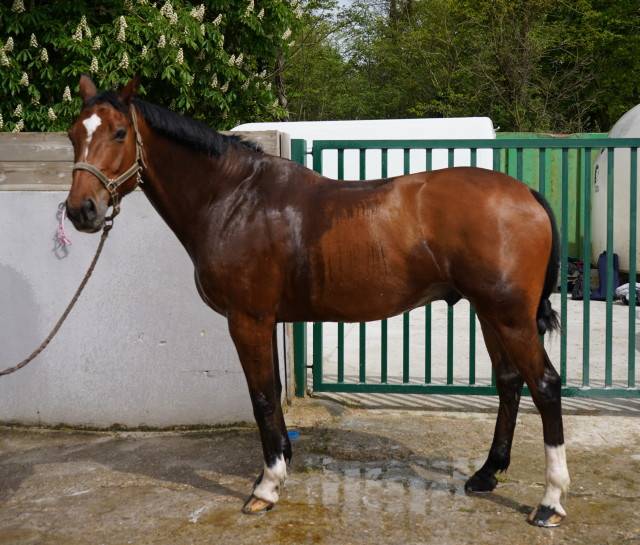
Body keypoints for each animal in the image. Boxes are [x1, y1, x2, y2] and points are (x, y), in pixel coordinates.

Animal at [64, 75, 569, 527]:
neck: (234, 199)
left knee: (544, 385)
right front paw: (281, 462)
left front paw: (266, 488)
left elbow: (261, 397)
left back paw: (550, 502)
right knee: (509, 382)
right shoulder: (265, 320)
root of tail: (525, 193)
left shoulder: (246, 319)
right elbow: (269, 394)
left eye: (119, 132)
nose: (81, 210)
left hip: (509, 316)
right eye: (73, 134)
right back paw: (486, 474)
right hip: (491, 313)